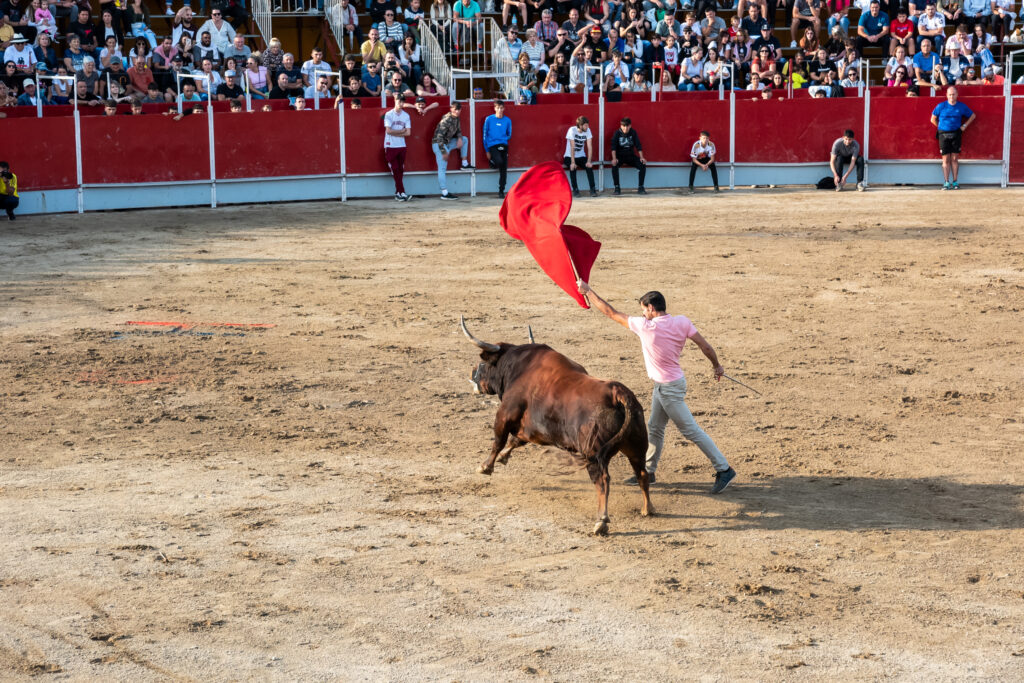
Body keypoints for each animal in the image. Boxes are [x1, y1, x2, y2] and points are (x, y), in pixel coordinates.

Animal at [460, 317, 651, 536]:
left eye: (484, 363)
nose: (472, 371)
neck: (515, 367)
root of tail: (618, 394)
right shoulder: (531, 429)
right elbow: (515, 441)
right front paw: (502, 458)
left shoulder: (505, 413)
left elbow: (498, 440)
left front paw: (486, 466)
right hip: (637, 446)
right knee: (642, 473)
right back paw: (647, 509)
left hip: (594, 454)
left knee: (602, 481)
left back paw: (601, 521)